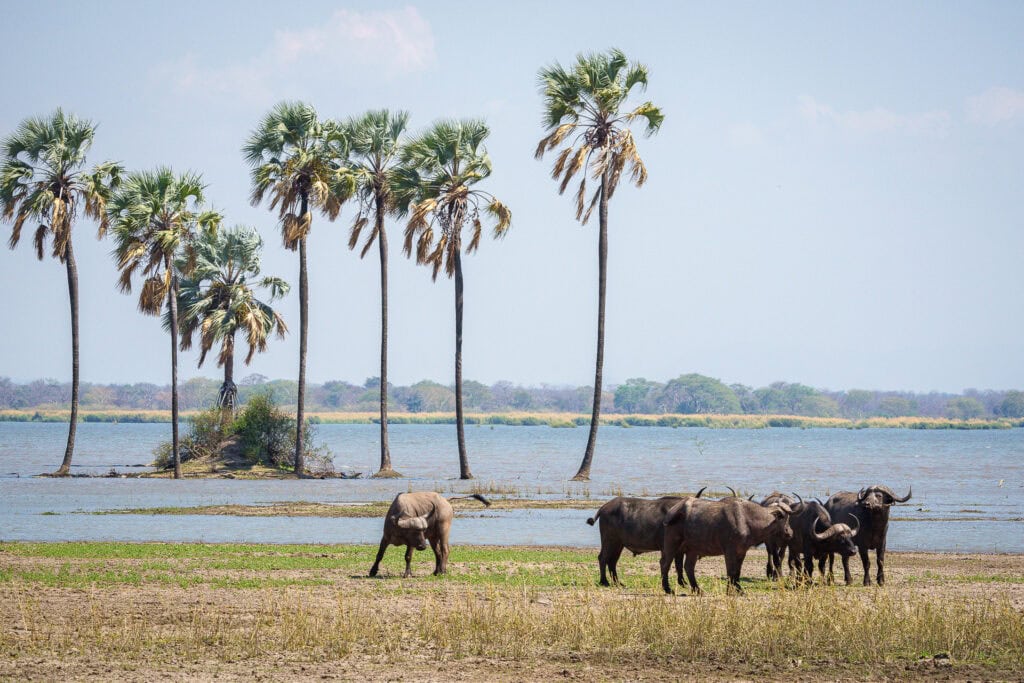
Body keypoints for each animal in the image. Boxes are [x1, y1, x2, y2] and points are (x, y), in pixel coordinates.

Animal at [660, 496, 796, 594]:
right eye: (785, 517)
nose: (790, 532)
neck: (747, 519)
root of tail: (673, 510)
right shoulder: (729, 551)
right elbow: (731, 571)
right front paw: (730, 590)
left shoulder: (742, 551)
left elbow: (737, 571)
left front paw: (738, 589)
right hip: (672, 544)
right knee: (665, 564)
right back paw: (668, 589)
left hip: (692, 550)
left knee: (688, 567)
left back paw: (697, 589)